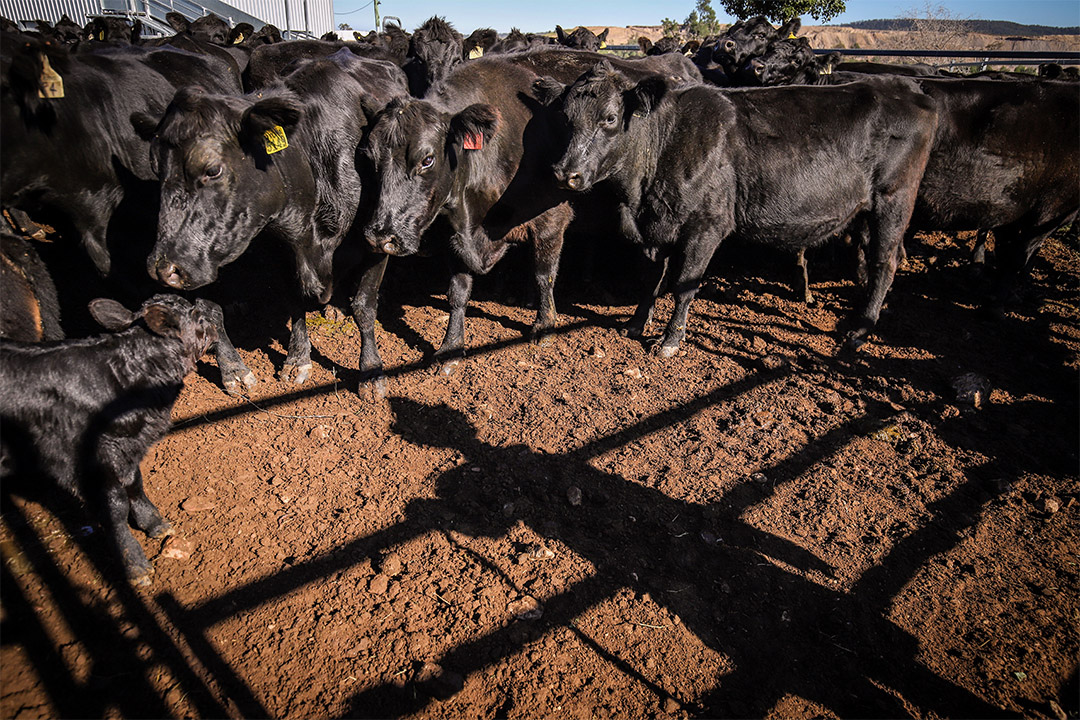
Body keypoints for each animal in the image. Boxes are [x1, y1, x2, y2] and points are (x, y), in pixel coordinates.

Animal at [0, 295, 219, 582]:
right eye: (196, 316)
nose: (214, 321)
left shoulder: (125, 448)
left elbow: (134, 483)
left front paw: (154, 522)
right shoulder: (91, 458)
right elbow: (114, 506)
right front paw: (134, 563)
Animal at [143, 49, 408, 388]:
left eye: (212, 169)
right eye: (156, 167)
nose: (163, 268)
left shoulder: (377, 239)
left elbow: (364, 305)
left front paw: (371, 371)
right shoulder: (281, 245)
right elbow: (295, 300)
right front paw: (298, 359)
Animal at [537, 62, 937, 354]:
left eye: (609, 118)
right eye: (566, 117)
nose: (565, 173)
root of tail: (905, 86)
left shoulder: (707, 225)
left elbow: (684, 285)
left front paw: (669, 341)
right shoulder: (657, 225)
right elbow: (652, 277)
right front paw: (636, 323)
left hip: (893, 199)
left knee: (885, 262)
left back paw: (858, 331)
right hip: (868, 211)